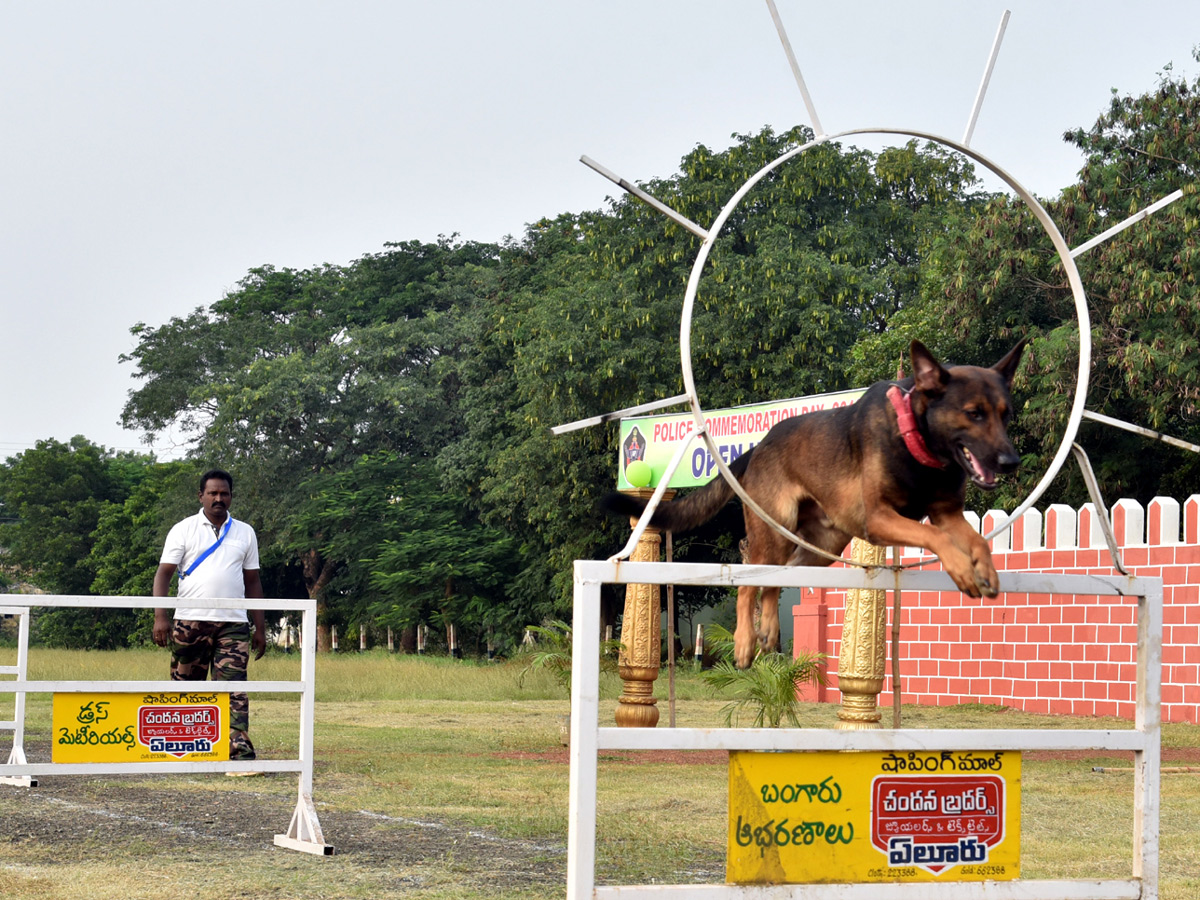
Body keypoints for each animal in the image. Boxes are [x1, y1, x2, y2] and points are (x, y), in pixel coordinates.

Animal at [604, 340, 1027, 672]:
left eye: (1006, 415)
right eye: (974, 413)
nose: (1011, 462)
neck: (917, 440)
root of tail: (759, 447)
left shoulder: (946, 513)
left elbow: (978, 540)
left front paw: (985, 569)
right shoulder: (880, 519)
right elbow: (935, 538)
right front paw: (963, 571)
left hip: (819, 549)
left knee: (774, 582)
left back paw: (769, 630)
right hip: (772, 533)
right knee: (747, 585)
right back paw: (744, 644)